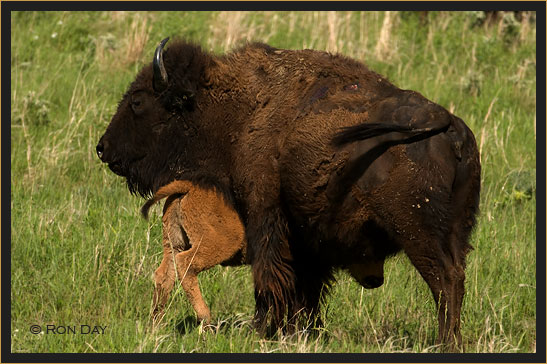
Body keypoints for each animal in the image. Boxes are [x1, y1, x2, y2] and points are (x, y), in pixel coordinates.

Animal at [97, 37, 480, 346]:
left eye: (138, 101)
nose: (103, 148)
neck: (238, 109)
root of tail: (447, 123)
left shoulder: (266, 217)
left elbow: (272, 277)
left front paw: (264, 329)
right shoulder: (305, 237)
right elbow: (306, 284)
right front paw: (304, 331)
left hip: (417, 231)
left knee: (444, 280)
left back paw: (444, 342)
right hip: (458, 230)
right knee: (457, 278)